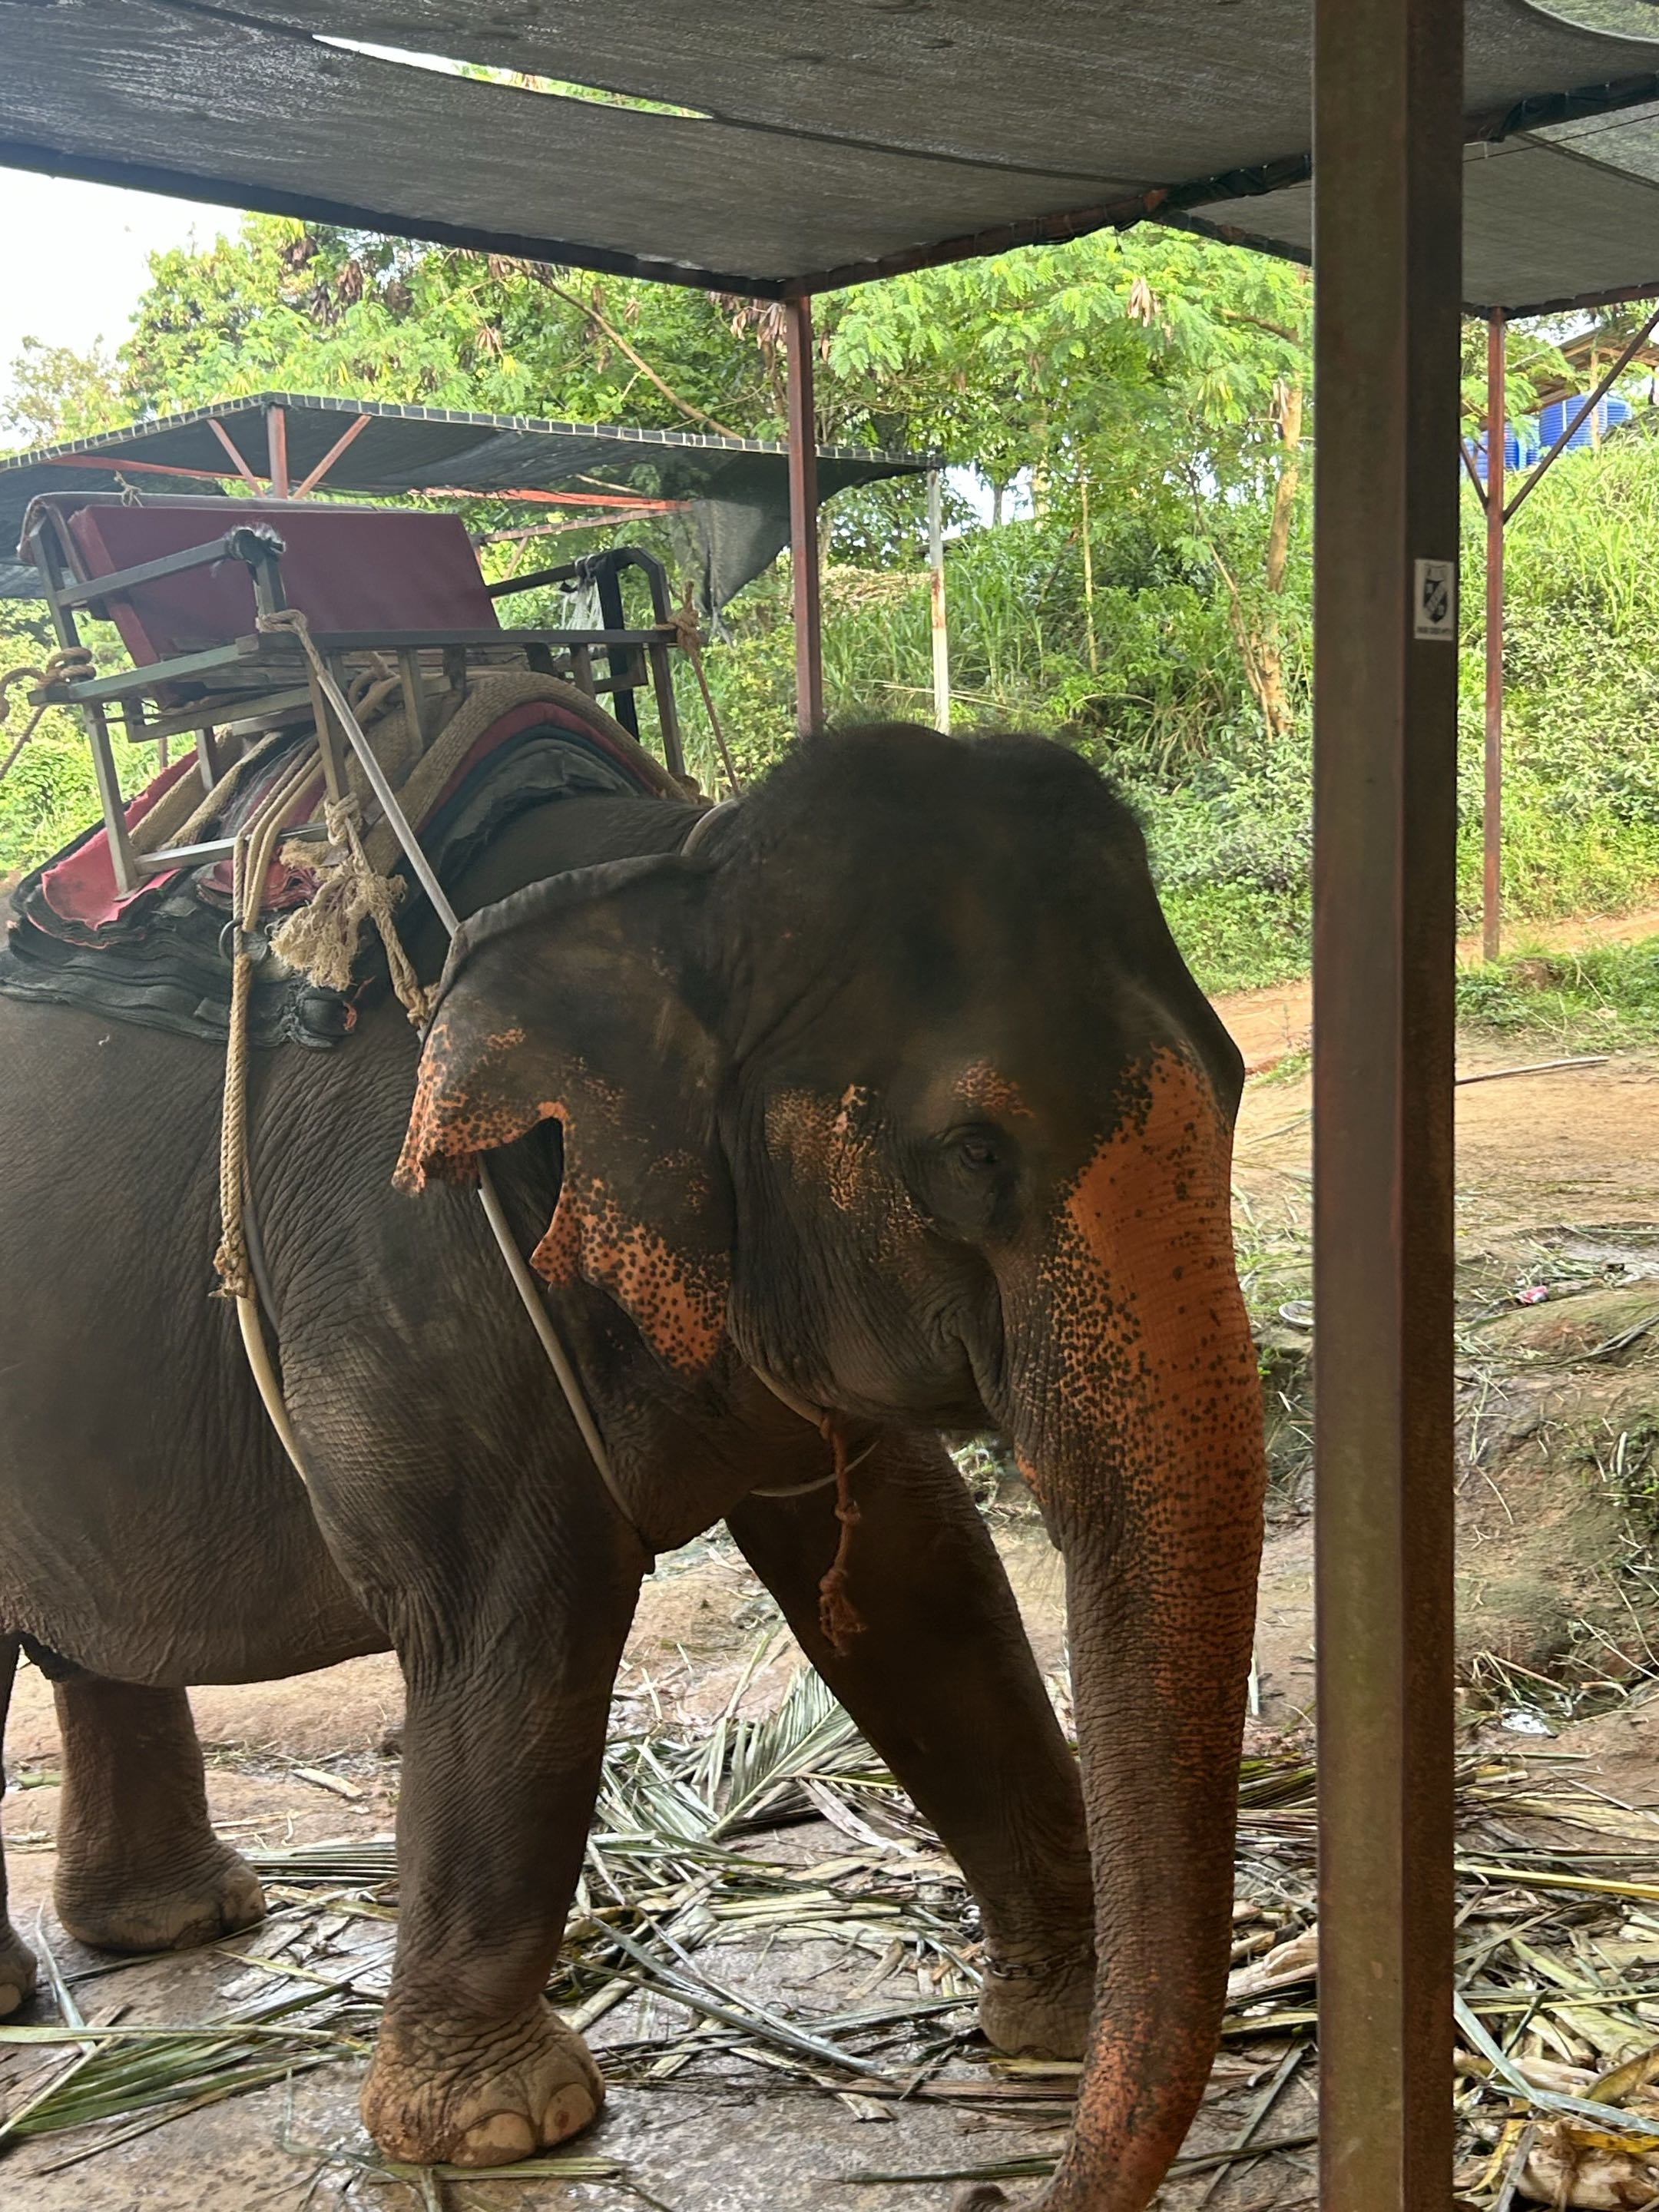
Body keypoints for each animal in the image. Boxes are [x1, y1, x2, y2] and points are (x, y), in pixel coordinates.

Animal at [0, 720, 1264, 2212]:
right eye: (973, 1152)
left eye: (1237, 1082)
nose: (1013, 2189)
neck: (667, 879)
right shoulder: (409, 1263)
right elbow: (514, 1629)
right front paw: (496, 2131)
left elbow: (928, 1591)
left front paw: (1058, 2027)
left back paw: (176, 1921)